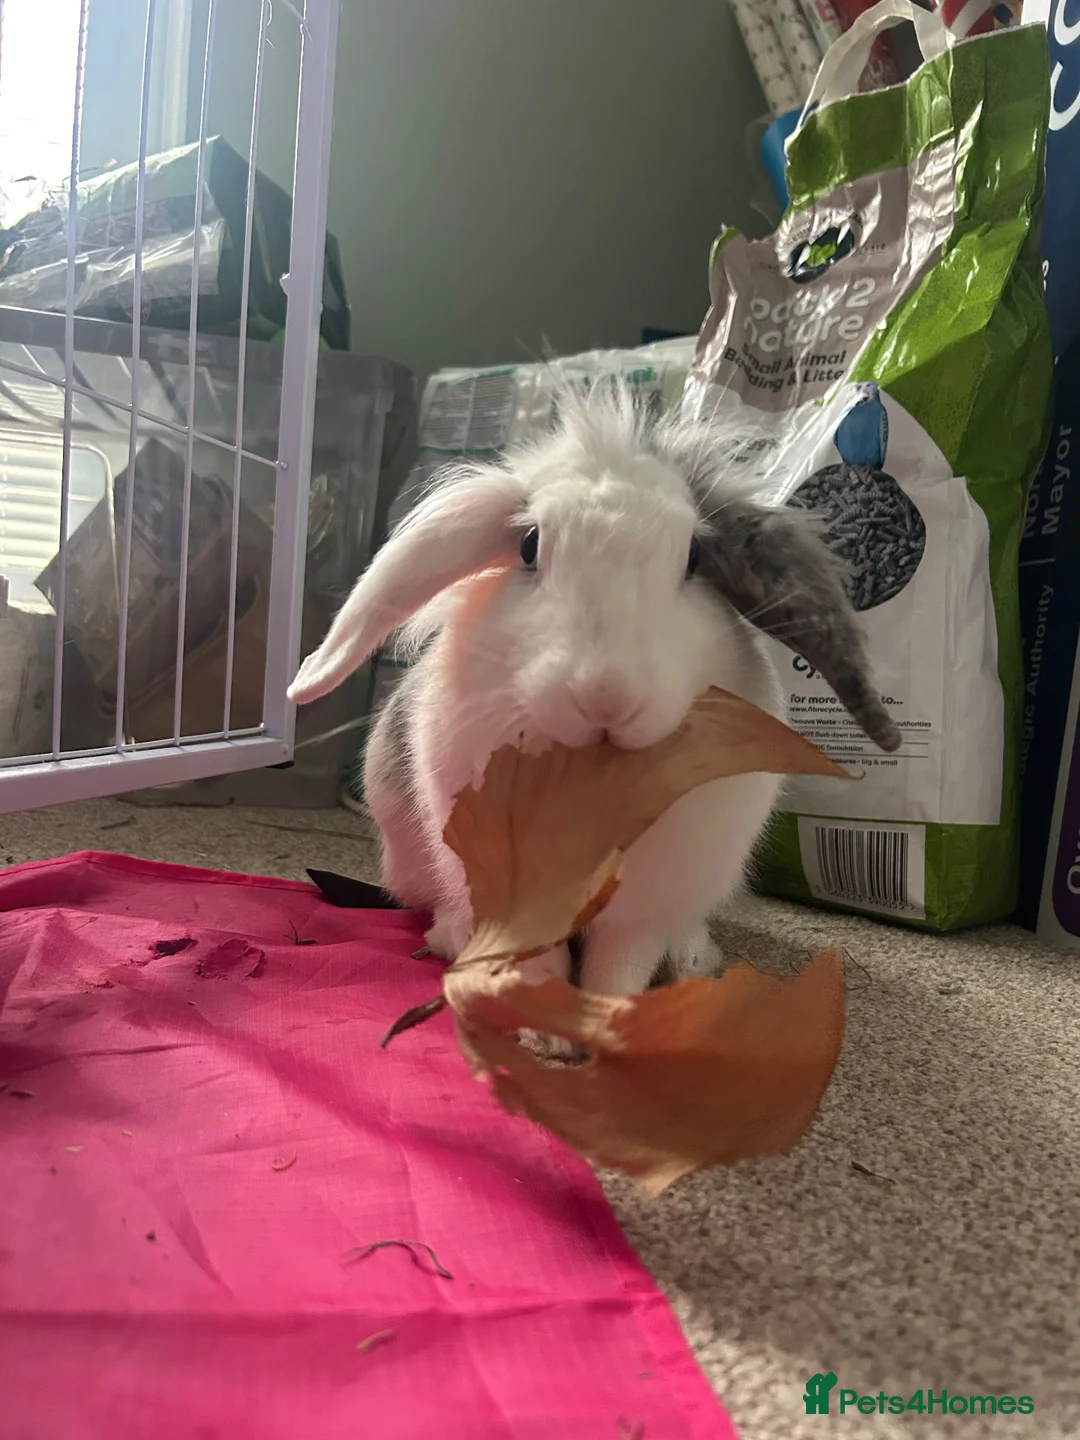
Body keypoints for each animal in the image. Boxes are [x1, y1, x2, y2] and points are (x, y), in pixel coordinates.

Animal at [289, 383, 899, 999]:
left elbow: (619, 968)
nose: (607, 696)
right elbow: (538, 957)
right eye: (529, 544)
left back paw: (691, 960)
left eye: (695, 558)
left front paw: (608, 1015)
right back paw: (451, 938)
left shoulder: (642, 912)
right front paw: (533, 1006)